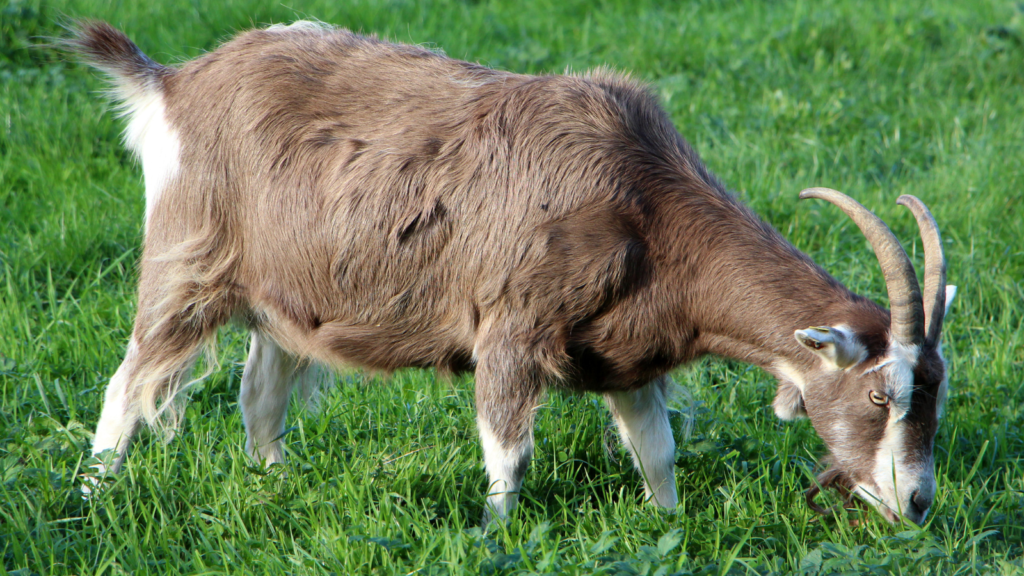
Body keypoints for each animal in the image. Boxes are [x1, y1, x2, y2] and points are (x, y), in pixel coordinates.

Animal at [68, 20, 954, 524]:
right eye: (882, 395)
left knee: (261, 393)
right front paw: (496, 538)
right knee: (127, 382)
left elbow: (657, 451)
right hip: (186, 264)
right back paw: (91, 499)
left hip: (285, 293)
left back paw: (275, 486)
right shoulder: (511, 330)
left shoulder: (628, 351)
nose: (917, 502)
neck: (643, 197)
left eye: (939, 391)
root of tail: (172, 84)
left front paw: (667, 529)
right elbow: (509, 456)